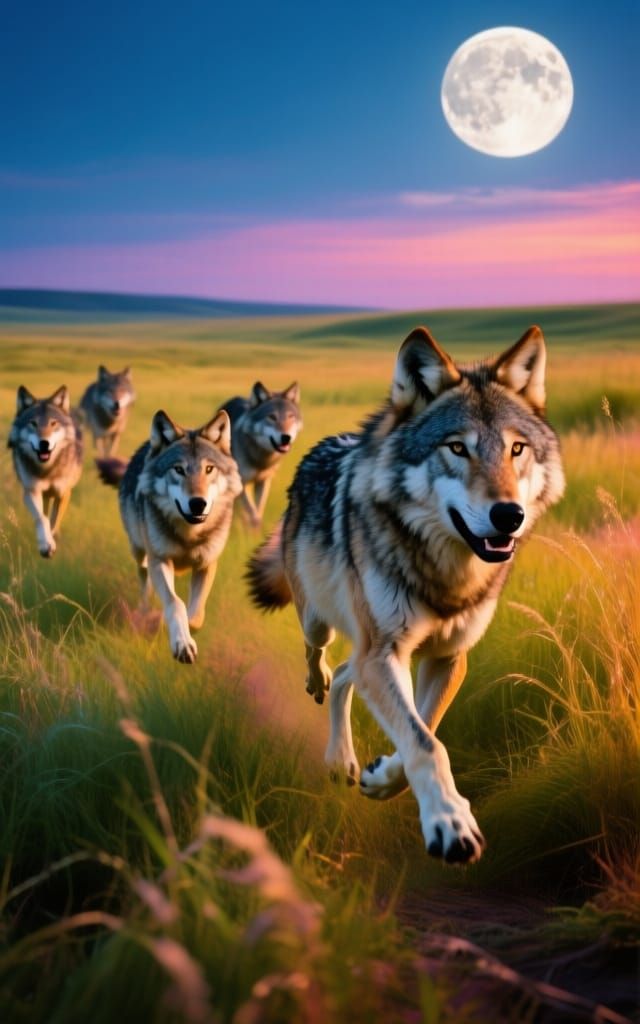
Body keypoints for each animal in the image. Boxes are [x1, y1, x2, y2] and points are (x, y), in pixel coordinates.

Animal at [8, 385, 83, 558]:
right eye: (33, 423)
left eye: (53, 423)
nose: (44, 443)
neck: (47, 470)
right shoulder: (31, 491)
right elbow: (42, 518)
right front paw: (45, 544)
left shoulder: (63, 493)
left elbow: (54, 522)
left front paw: (53, 541)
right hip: (44, 495)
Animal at [97, 409, 242, 663]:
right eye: (179, 469)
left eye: (209, 469)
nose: (198, 503)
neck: (188, 535)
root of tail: (147, 447)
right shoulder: (161, 560)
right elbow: (175, 603)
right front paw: (181, 643)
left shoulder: (206, 564)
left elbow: (196, 615)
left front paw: (179, 631)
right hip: (140, 552)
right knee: (144, 581)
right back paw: (145, 612)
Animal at [219, 381, 302, 527]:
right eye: (272, 417)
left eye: (290, 417)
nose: (286, 437)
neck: (261, 459)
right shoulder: (242, 483)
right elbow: (252, 511)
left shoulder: (264, 481)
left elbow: (258, 510)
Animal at [247, 326, 565, 864]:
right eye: (457, 448)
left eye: (517, 449)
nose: (509, 515)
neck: (446, 574)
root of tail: (325, 443)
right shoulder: (384, 652)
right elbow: (426, 744)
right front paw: (451, 824)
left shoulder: (446, 656)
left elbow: (424, 728)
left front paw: (380, 780)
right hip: (320, 617)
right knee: (321, 657)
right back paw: (322, 701)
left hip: (366, 644)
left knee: (347, 675)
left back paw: (344, 760)